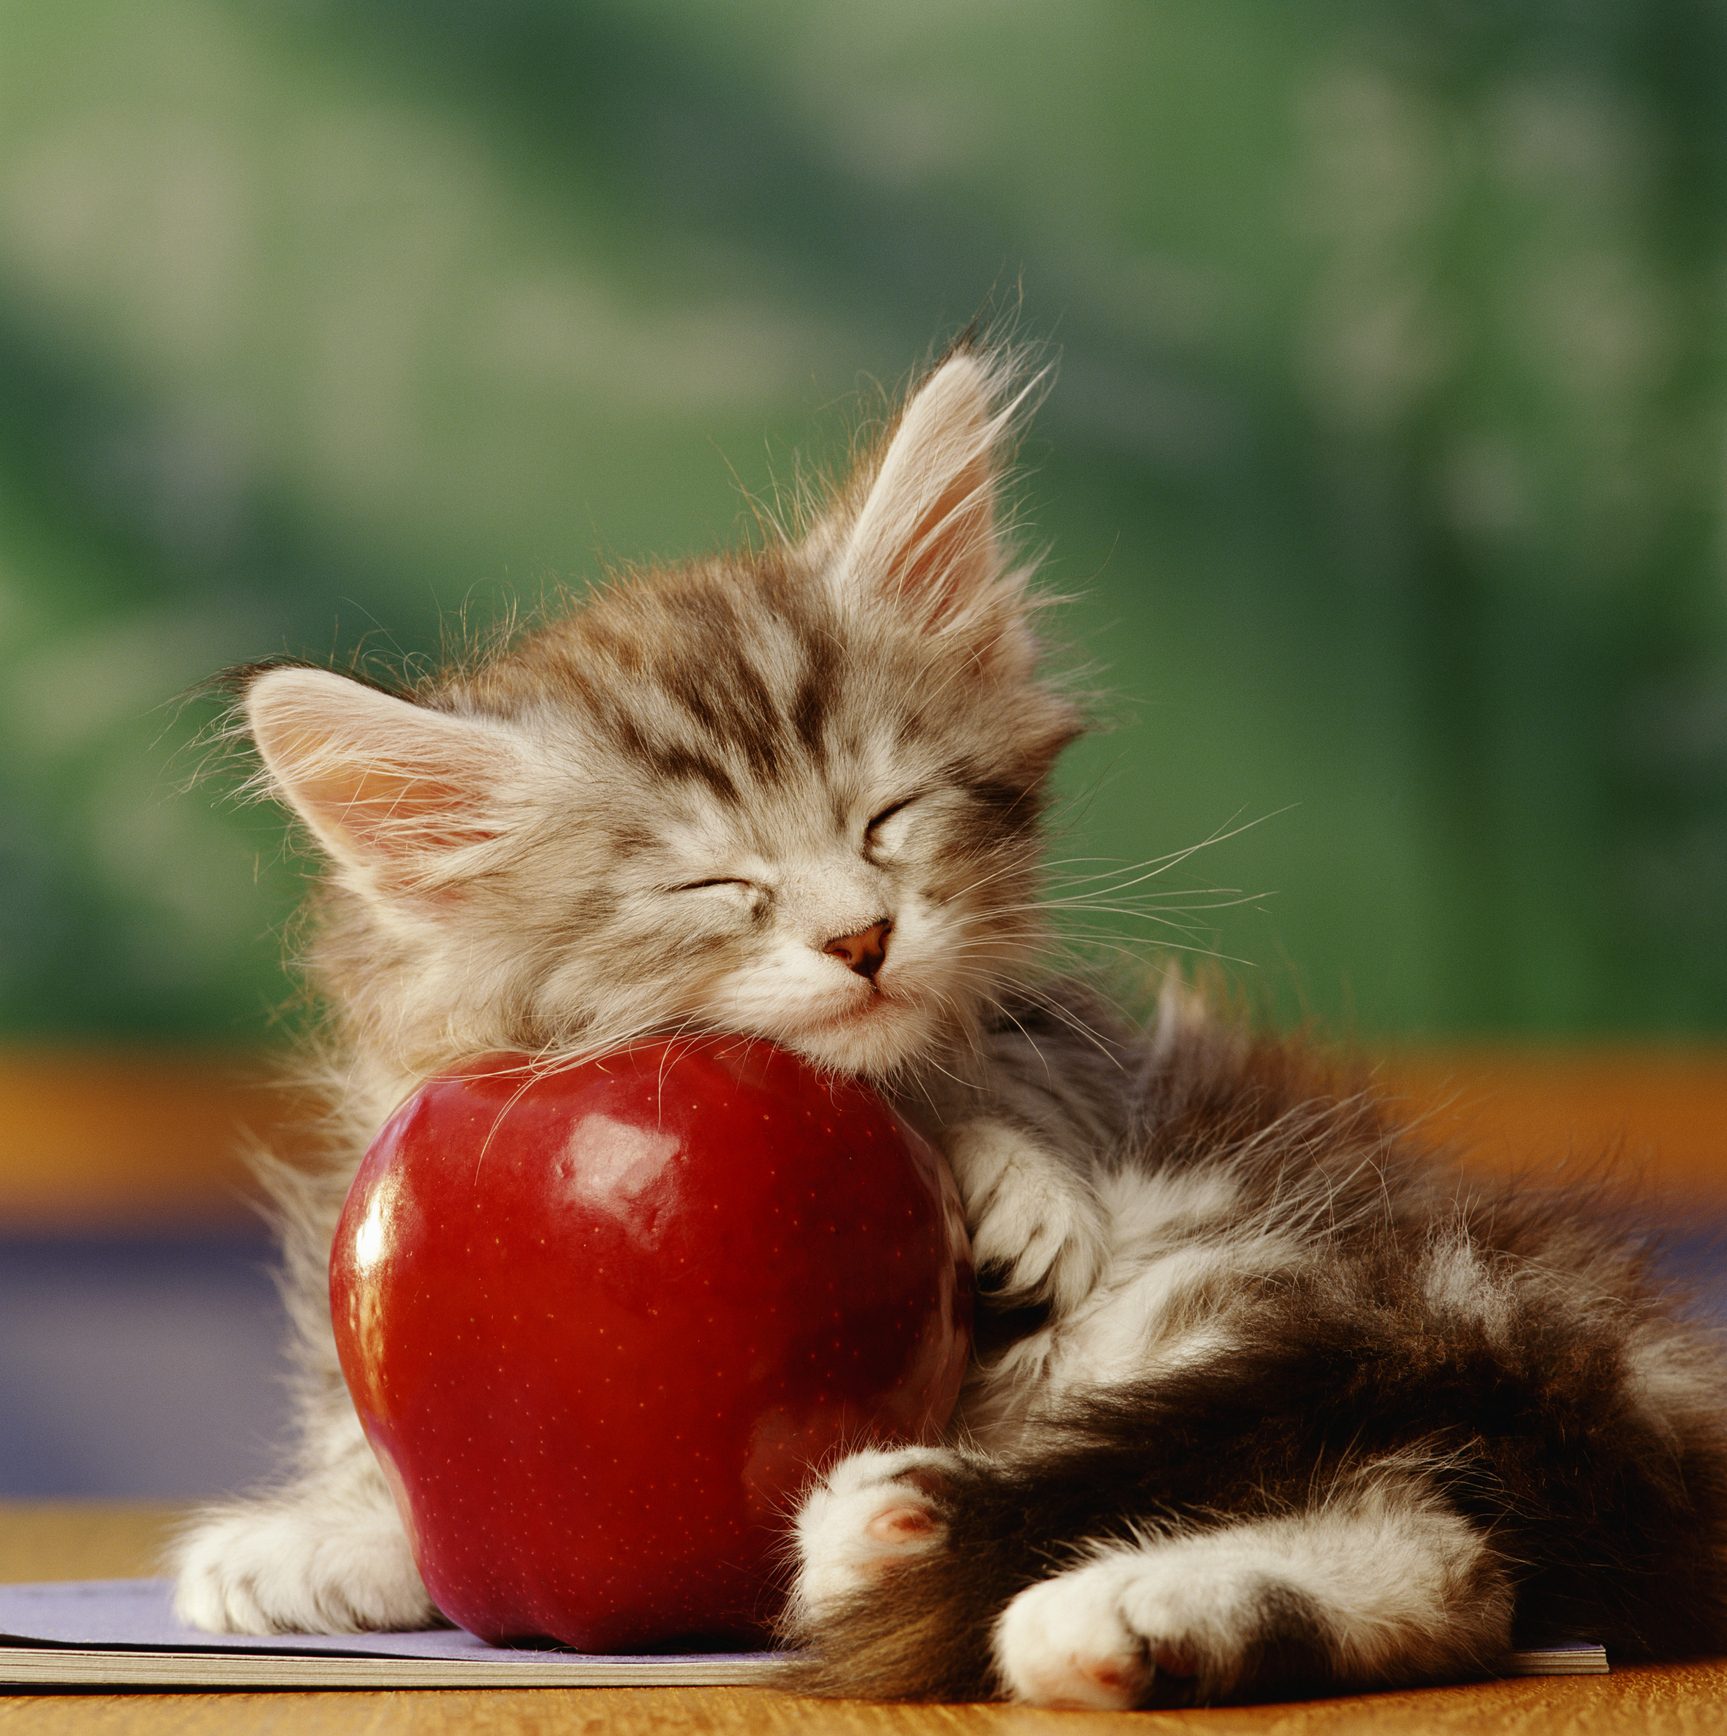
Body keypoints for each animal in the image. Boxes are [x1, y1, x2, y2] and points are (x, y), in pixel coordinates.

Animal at [171, 345, 1727, 1701]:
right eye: (715, 885)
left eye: (887, 817)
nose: (860, 936)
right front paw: (324, 1535)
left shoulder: (1076, 1044)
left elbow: (1022, 1067)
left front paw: (1009, 1173)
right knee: (1435, 1550)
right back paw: (1083, 1609)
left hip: (1243, 1278)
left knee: (1409, 1520)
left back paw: (914, 1529)